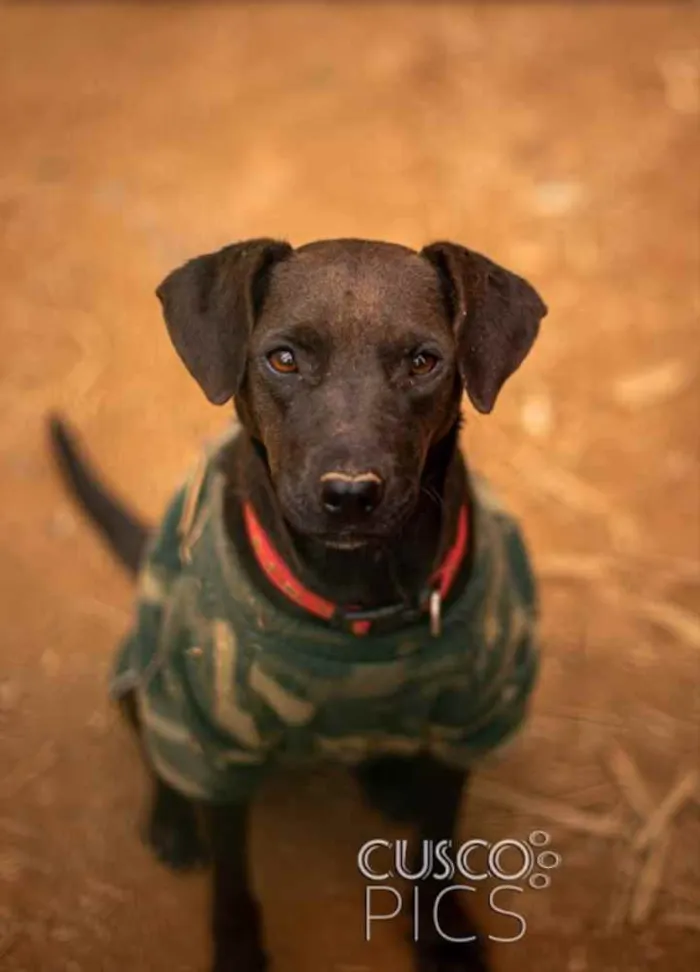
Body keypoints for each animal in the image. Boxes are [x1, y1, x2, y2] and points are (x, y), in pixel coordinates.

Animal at [50, 237, 548, 972]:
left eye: (424, 360)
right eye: (283, 358)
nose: (350, 493)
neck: (359, 596)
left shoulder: (472, 721)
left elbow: (438, 847)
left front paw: (443, 937)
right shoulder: (218, 746)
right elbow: (232, 882)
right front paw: (237, 950)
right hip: (153, 677)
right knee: (154, 743)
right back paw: (172, 822)